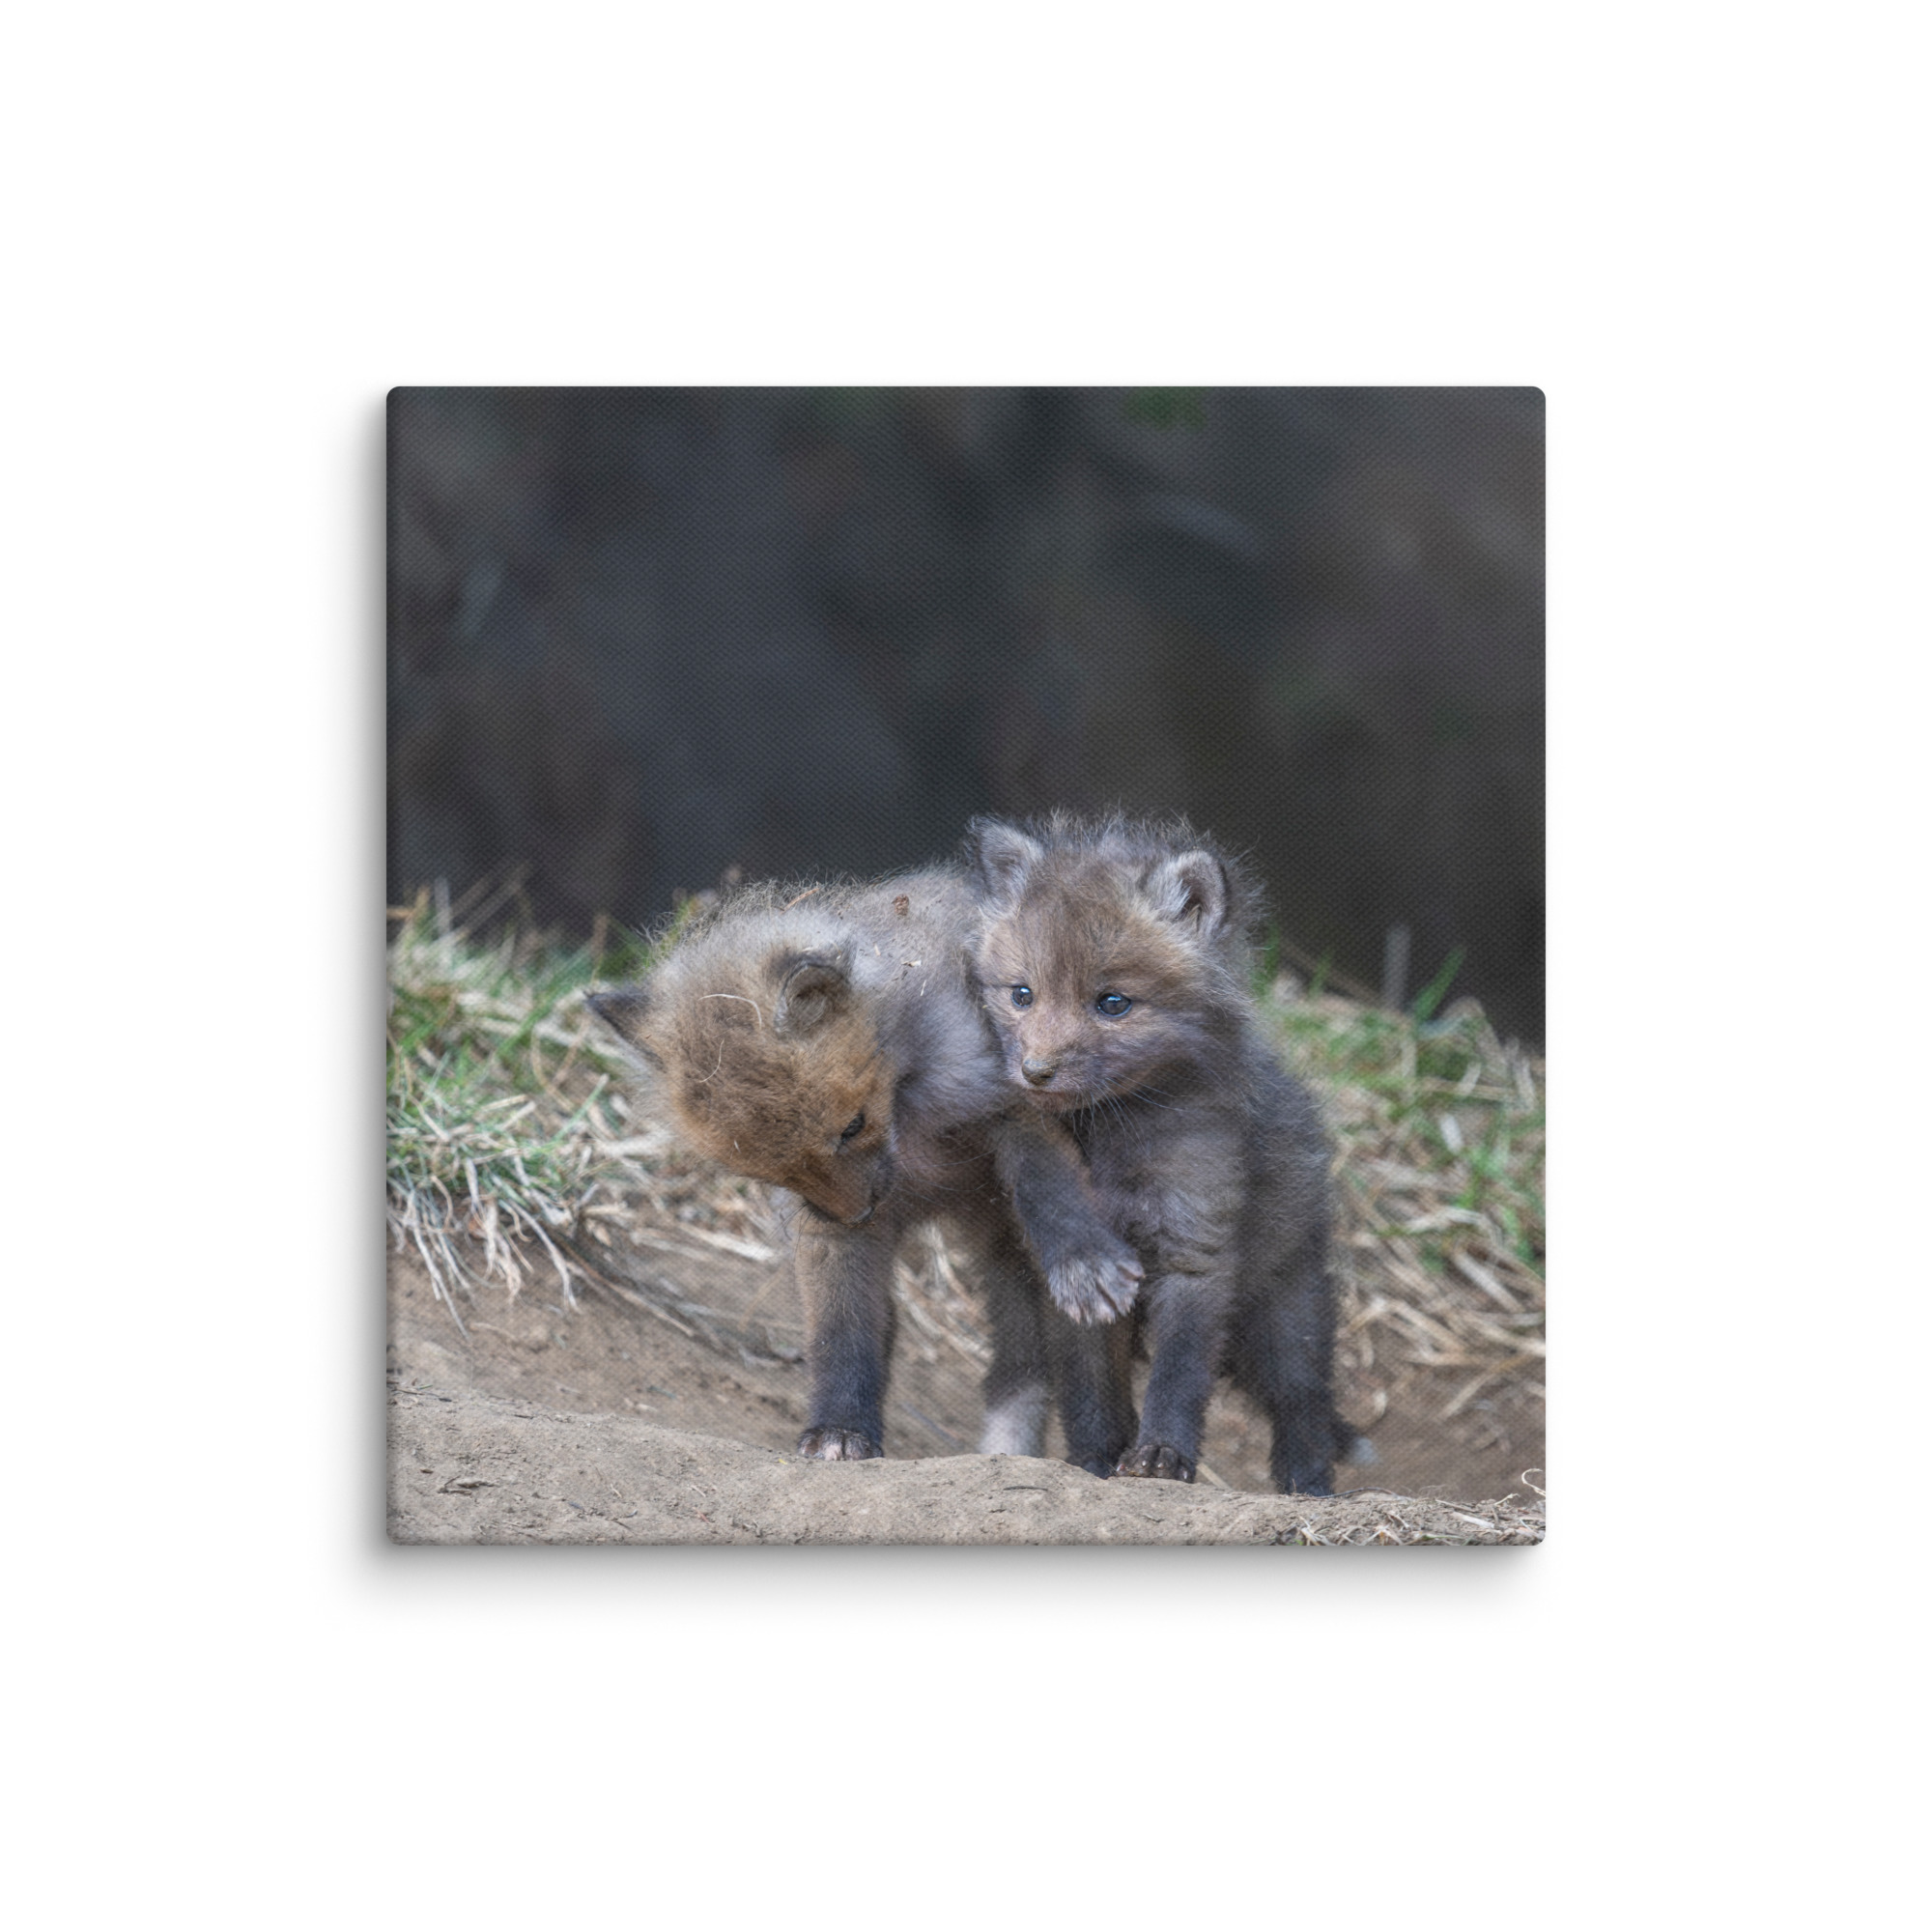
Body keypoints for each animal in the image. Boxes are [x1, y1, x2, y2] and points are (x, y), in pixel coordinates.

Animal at [587, 869, 1144, 1463]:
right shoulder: (823, 1229)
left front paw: (1083, 1261)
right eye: (770, 1171)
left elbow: (1049, 1188)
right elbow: (841, 1331)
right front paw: (840, 1428)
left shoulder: (1014, 1101)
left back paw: (1100, 1456)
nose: (857, 1214)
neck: (911, 1118)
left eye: (852, 1127)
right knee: (1013, 1364)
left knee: (1082, 1366)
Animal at [964, 813, 1348, 1495]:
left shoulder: (1195, 1247)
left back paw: (1310, 1490)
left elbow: (1179, 1374)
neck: (1112, 1141)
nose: (1034, 1073)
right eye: (1022, 994)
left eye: (1113, 1003)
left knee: (1304, 1403)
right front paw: (1095, 1462)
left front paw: (1162, 1456)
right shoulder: (1078, 1282)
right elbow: (1090, 1390)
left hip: (1285, 1315)